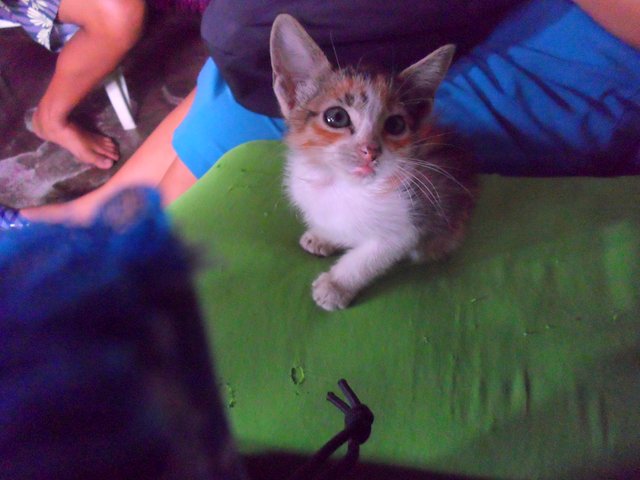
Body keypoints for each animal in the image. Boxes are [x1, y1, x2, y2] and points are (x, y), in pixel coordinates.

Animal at [270, 14, 477, 311]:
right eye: (337, 117)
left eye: (396, 125)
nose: (370, 150)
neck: (342, 187)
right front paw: (324, 236)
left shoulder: (409, 221)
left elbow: (369, 258)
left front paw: (336, 285)